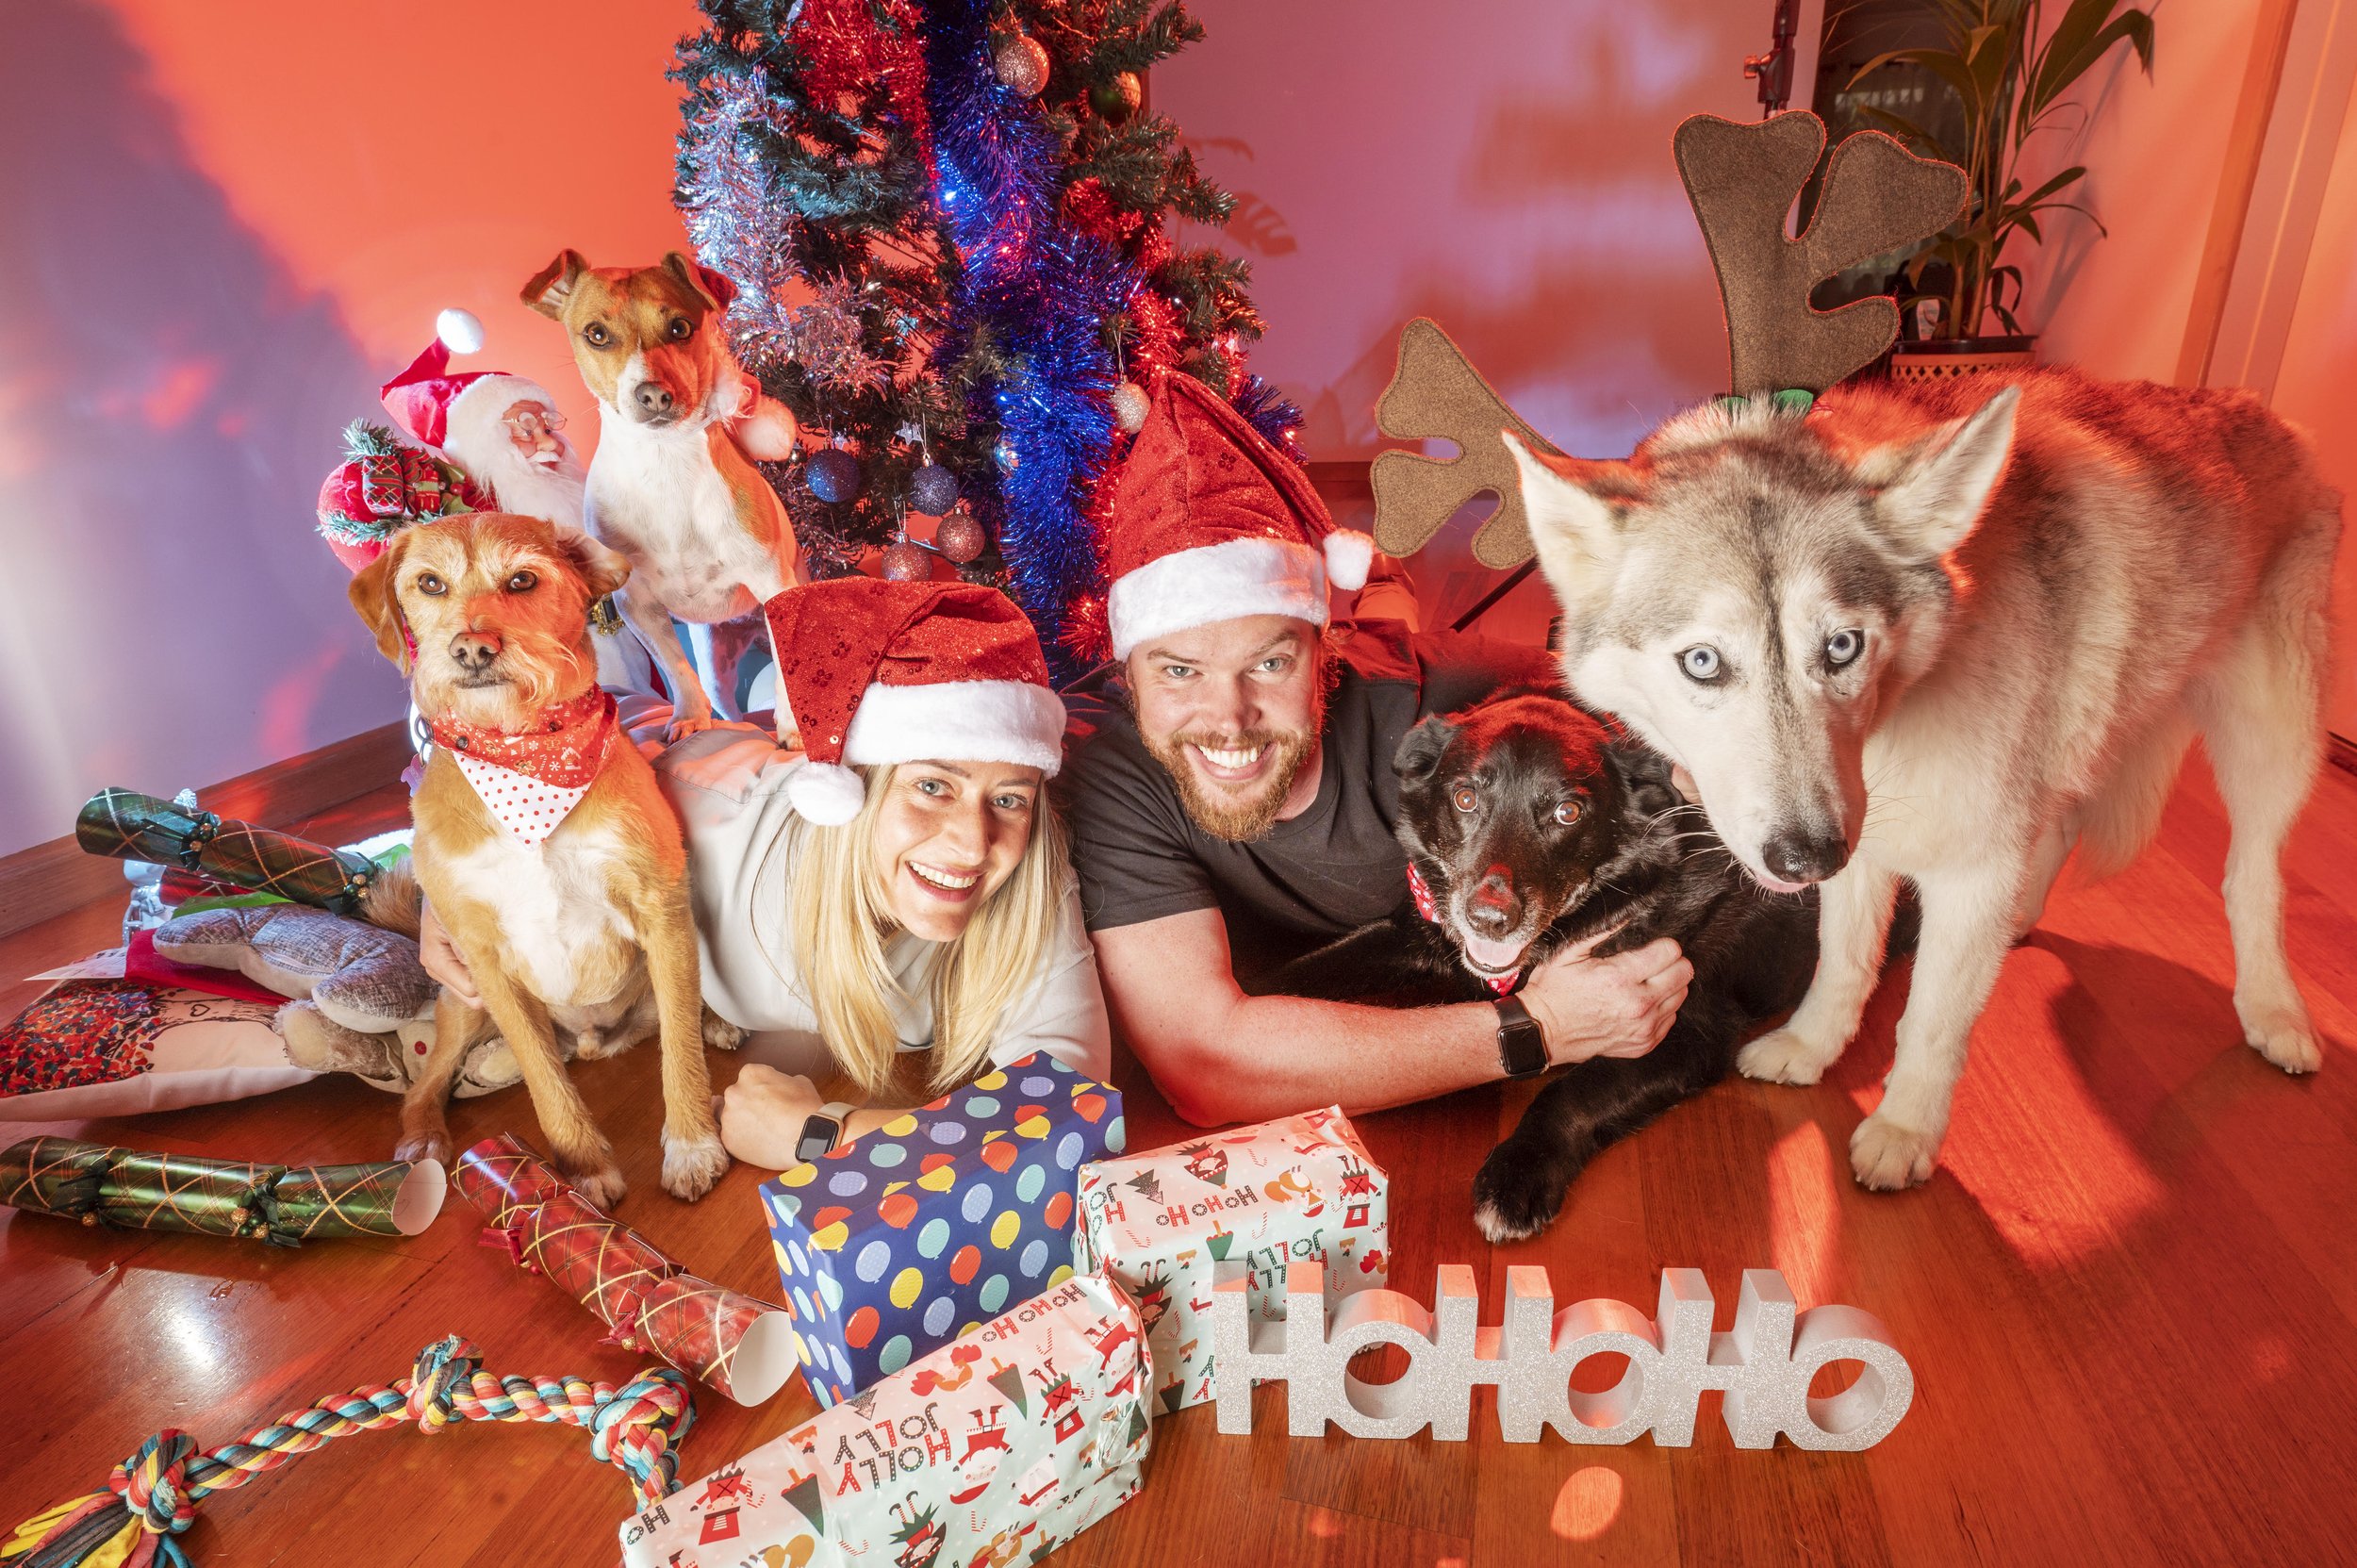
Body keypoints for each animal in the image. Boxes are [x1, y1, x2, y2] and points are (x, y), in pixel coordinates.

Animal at [349, 511, 726, 1197]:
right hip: (461, 1001)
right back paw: (425, 1134)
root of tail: (595, 1041)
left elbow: (680, 1048)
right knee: (426, 1082)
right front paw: (581, 1166)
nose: (472, 648)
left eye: (523, 579)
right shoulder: (485, 960)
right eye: (429, 583)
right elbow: (543, 1075)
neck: (524, 761)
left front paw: (691, 1145)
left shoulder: (661, 911)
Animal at [1273, 693, 1820, 1245]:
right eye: (1465, 799)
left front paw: (1518, 1173)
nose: (1489, 920)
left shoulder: (1686, 1029)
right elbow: (1296, 975)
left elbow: (1572, 1091)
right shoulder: (1408, 930)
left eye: (1567, 812)